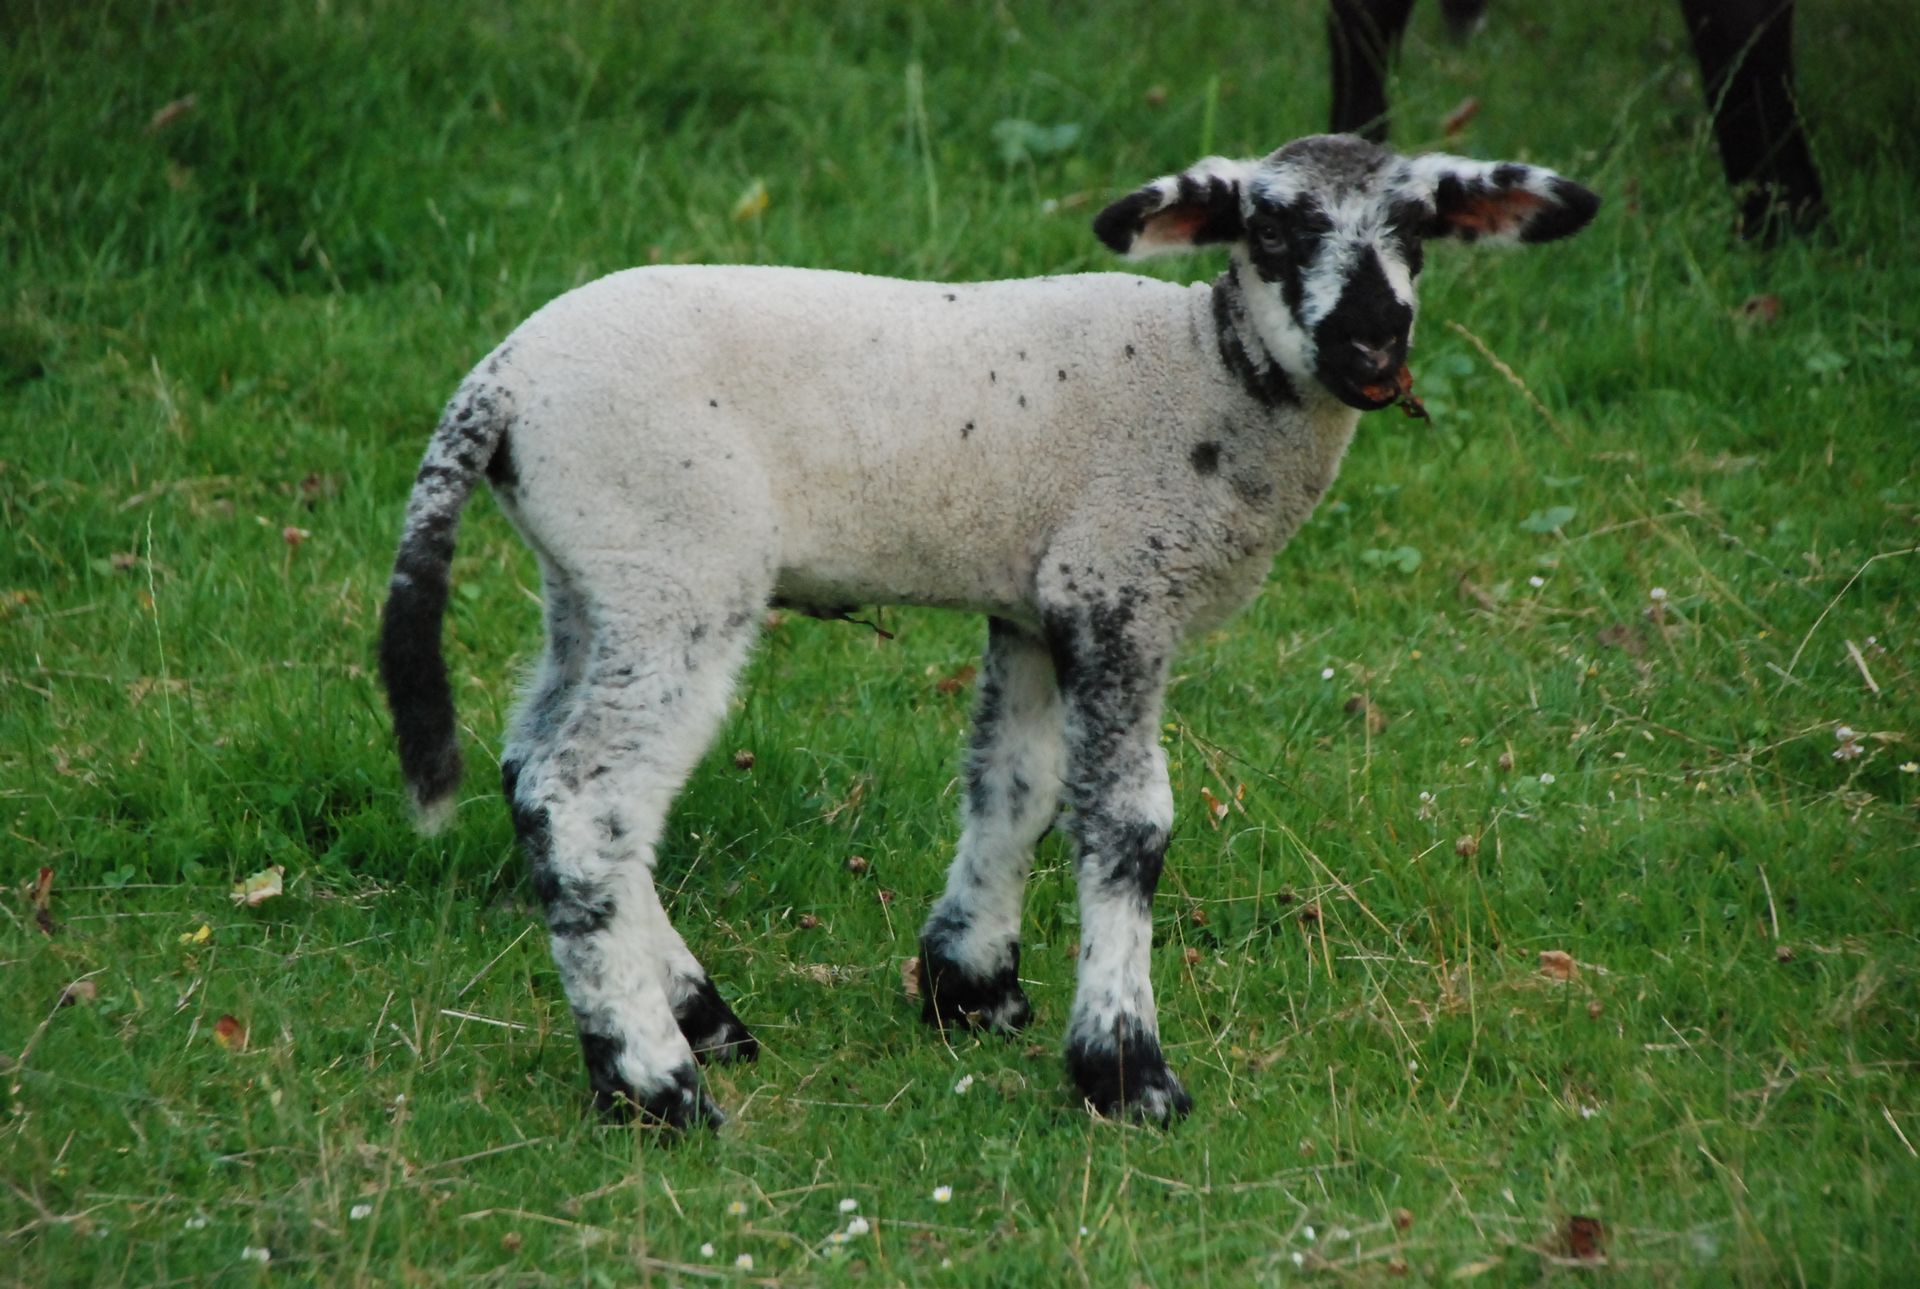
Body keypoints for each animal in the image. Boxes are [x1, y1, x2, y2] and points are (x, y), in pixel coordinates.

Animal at [379, 133, 1598, 1128]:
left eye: (1419, 229)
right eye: (1270, 229)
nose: (1374, 339)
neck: (1208, 377)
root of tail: (497, 384)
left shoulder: (1037, 601)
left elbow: (1015, 787)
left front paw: (973, 988)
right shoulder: (1117, 585)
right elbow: (1126, 826)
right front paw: (1125, 1070)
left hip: (590, 576)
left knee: (531, 766)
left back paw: (700, 1015)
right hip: (674, 564)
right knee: (587, 802)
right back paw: (655, 1083)